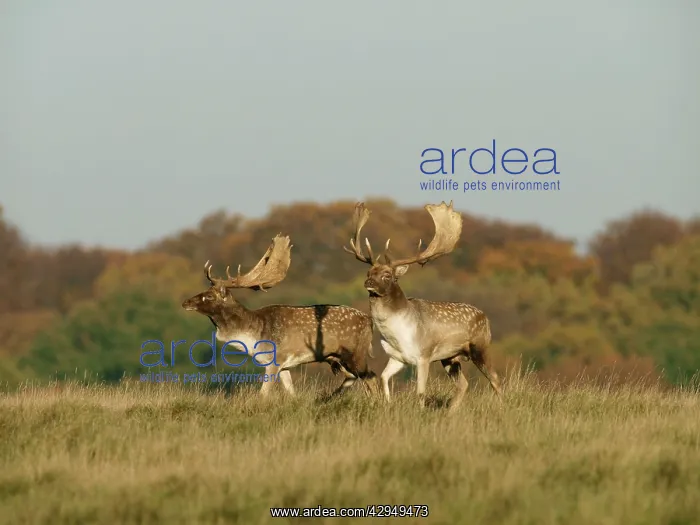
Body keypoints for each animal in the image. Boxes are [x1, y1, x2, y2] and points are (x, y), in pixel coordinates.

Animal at [181, 234, 379, 398]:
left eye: (209, 296)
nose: (185, 302)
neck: (253, 336)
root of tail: (369, 321)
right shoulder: (285, 365)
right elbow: (291, 392)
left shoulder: (275, 360)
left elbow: (263, 394)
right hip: (337, 358)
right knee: (357, 378)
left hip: (356, 353)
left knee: (371, 377)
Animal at [342, 201, 502, 411]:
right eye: (369, 272)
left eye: (387, 275)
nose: (368, 282)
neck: (397, 333)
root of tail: (486, 317)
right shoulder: (397, 357)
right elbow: (383, 378)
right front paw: (388, 404)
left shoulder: (424, 356)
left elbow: (420, 392)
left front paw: (420, 412)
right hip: (450, 357)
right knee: (464, 384)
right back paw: (450, 412)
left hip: (480, 346)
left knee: (495, 379)